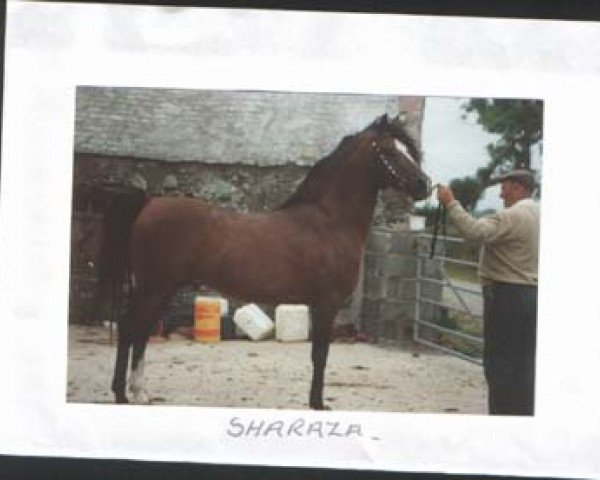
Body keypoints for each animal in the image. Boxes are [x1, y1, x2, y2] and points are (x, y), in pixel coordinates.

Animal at [104, 113, 432, 408]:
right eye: (387, 150)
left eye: (408, 150)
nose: (424, 184)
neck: (329, 222)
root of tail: (149, 203)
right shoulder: (326, 303)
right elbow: (320, 354)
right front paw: (317, 404)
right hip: (154, 287)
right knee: (130, 328)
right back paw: (122, 394)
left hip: (162, 289)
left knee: (140, 331)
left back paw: (139, 393)